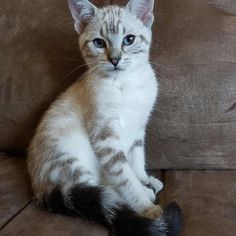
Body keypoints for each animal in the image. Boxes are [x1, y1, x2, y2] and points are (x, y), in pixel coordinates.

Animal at [27, 0, 183, 236]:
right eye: (99, 43)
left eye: (129, 39)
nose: (115, 59)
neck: (127, 84)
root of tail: (38, 190)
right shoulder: (105, 139)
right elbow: (125, 178)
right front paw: (147, 207)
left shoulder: (138, 129)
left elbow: (137, 161)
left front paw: (144, 179)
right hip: (73, 157)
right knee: (100, 189)